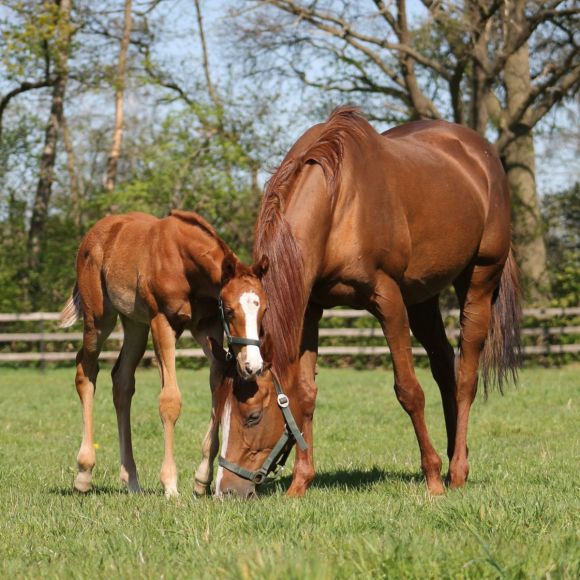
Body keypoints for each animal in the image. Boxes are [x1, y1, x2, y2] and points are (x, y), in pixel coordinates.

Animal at [60, 211, 268, 496]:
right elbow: (170, 401)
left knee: (122, 381)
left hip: (135, 324)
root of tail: (91, 237)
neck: (185, 264)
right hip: (99, 319)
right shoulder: (163, 322)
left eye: (264, 310)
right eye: (230, 310)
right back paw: (84, 473)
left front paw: (202, 479)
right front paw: (170, 484)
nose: (253, 365)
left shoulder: (207, 326)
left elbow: (218, 389)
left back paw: (131, 481)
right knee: (85, 371)